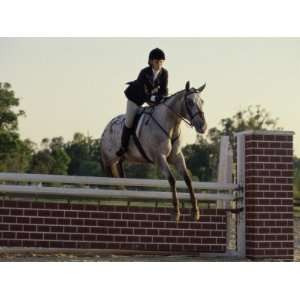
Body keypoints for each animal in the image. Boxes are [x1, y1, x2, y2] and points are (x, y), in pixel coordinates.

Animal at [99, 81, 207, 221]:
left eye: (202, 101)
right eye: (189, 102)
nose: (203, 127)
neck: (171, 124)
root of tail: (107, 127)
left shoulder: (177, 156)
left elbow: (188, 179)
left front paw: (195, 212)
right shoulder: (159, 157)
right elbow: (172, 179)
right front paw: (175, 212)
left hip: (119, 159)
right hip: (109, 159)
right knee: (110, 175)